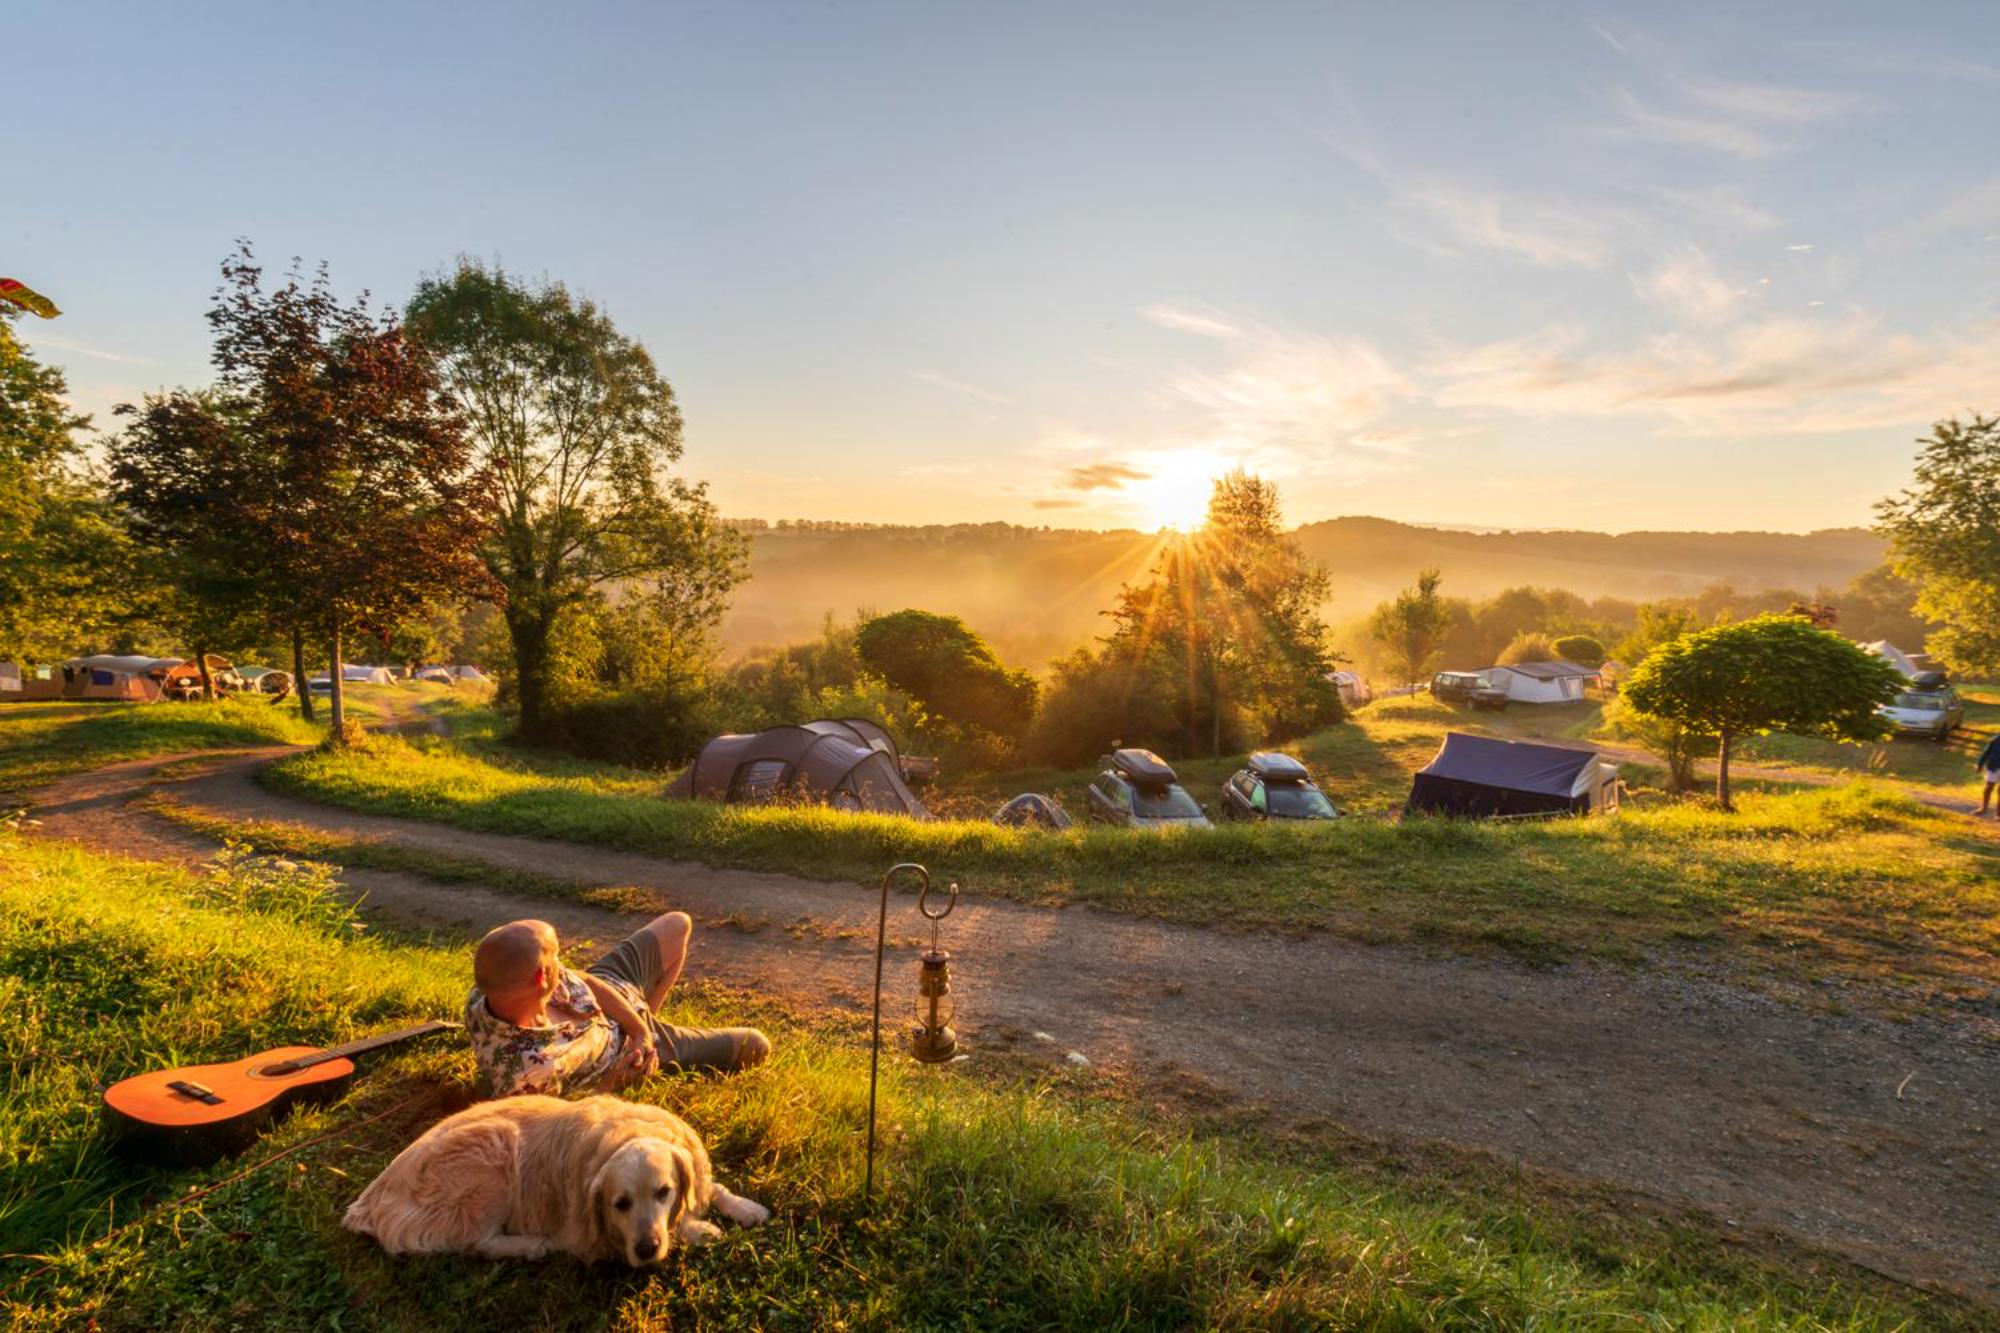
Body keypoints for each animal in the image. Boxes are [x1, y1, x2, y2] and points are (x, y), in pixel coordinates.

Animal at [344, 1088, 764, 1264]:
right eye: (620, 1204)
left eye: (664, 1191)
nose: (646, 1250)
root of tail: (369, 1201)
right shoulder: (588, 1235)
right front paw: (701, 1230)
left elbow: (712, 1188)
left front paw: (748, 1208)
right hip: (494, 1144)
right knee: (476, 1243)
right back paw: (531, 1246)